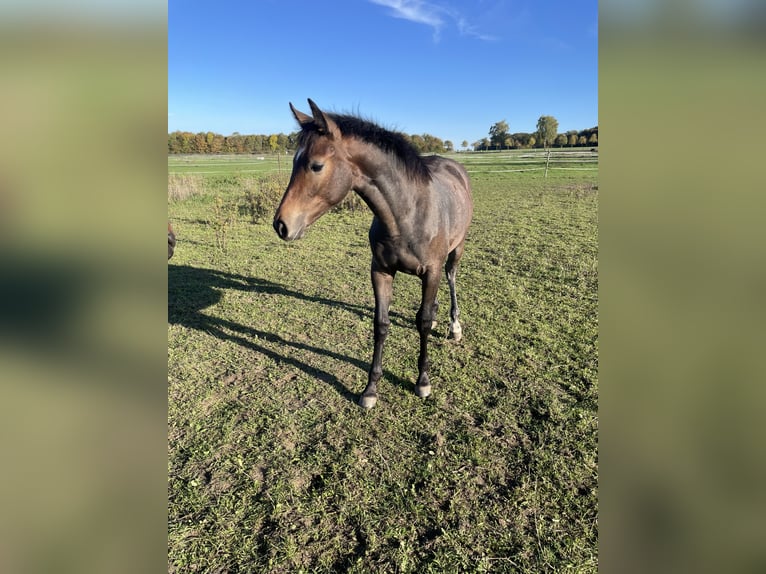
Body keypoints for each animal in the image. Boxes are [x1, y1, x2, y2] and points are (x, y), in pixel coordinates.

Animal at [273, 99, 473, 409]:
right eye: (294, 161)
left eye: (316, 165)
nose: (281, 225)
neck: (408, 213)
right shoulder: (380, 270)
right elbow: (381, 325)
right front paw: (370, 389)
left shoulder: (431, 271)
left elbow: (422, 323)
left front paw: (422, 382)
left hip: (456, 249)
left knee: (451, 278)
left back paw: (454, 326)